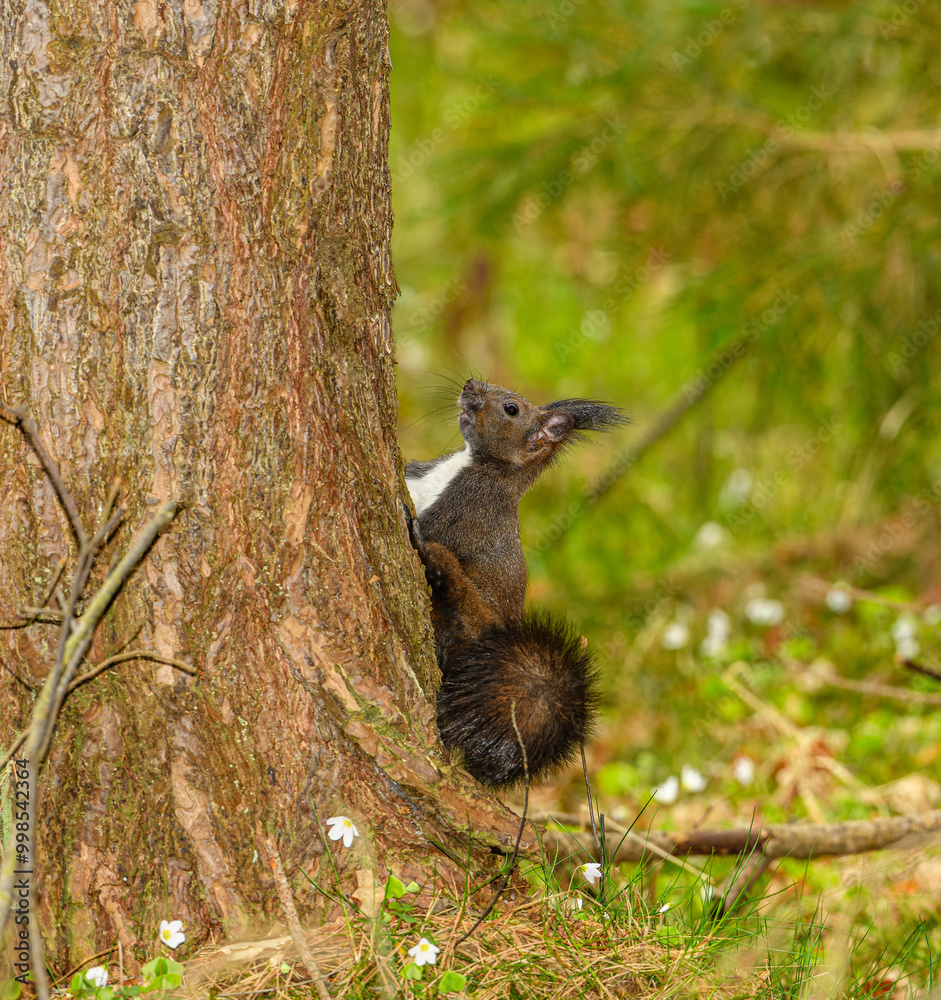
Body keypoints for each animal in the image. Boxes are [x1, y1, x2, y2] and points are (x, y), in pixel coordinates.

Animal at [404, 378, 627, 789]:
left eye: (511, 409)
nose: (470, 384)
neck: (473, 463)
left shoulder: (466, 510)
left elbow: (434, 525)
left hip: (467, 603)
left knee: (446, 584)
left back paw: (428, 559)